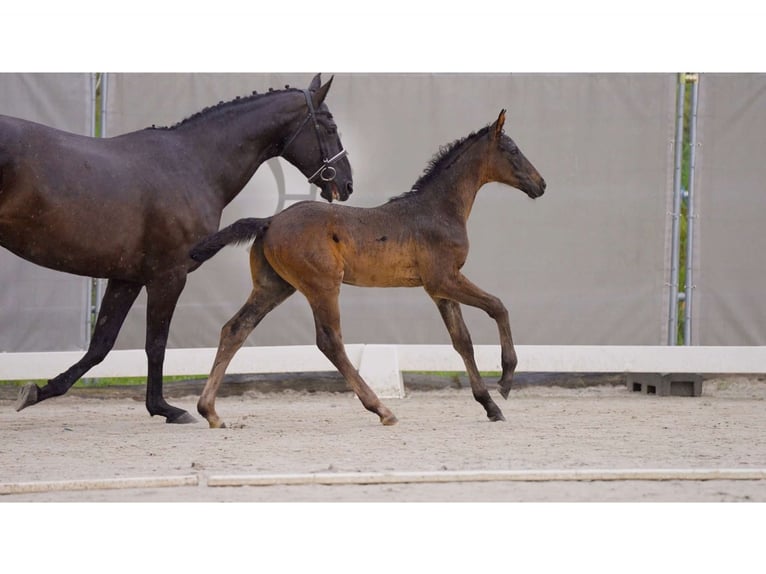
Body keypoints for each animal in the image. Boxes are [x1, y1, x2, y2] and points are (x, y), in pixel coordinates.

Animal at [2, 73, 356, 424]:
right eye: (330, 127)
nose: (347, 184)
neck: (191, 164)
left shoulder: (127, 278)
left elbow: (100, 345)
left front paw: (38, 391)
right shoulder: (168, 277)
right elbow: (156, 344)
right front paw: (165, 408)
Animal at [190, 110, 544, 430]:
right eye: (512, 150)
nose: (541, 184)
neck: (438, 209)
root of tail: (269, 221)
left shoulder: (440, 290)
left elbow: (463, 341)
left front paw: (490, 405)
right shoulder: (444, 278)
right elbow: (497, 306)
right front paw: (506, 380)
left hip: (273, 287)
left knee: (235, 329)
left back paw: (210, 412)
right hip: (322, 286)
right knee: (329, 341)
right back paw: (382, 409)